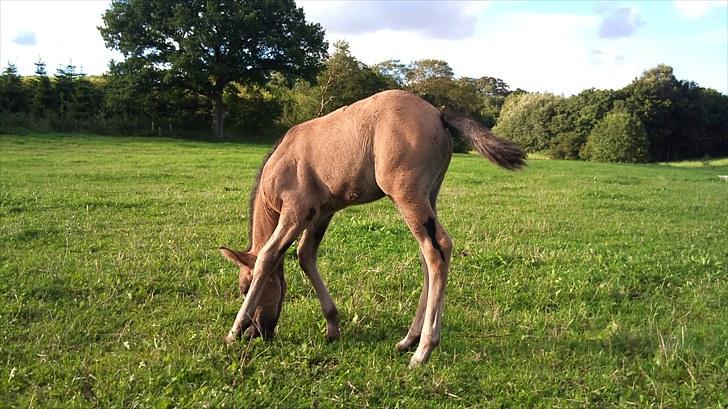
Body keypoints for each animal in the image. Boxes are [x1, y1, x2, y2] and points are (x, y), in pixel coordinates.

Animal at [219, 88, 528, 364]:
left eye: (244, 288)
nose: (256, 333)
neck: (281, 159)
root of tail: (438, 114)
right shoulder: (321, 214)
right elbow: (305, 255)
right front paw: (332, 327)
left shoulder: (295, 212)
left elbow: (268, 256)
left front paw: (233, 331)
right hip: (429, 195)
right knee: (429, 256)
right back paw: (409, 340)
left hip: (407, 195)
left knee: (436, 249)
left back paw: (424, 348)